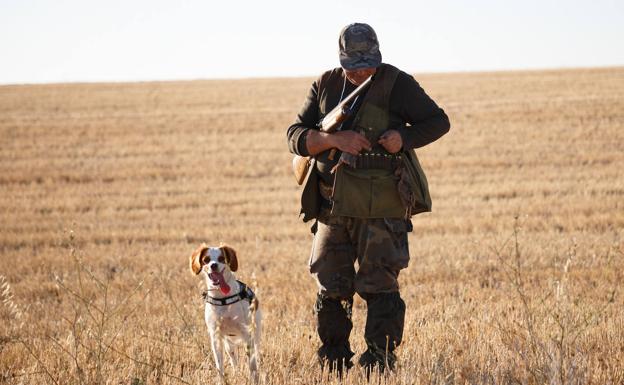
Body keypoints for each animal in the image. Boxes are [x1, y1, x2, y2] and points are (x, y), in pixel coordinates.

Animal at [189, 243, 260, 380]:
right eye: (206, 259)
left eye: (221, 258)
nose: (213, 265)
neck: (222, 297)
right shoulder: (215, 336)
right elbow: (219, 366)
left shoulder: (246, 333)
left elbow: (252, 365)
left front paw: (254, 379)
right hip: (228, 343)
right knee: (233, 359)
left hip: (255, 333)